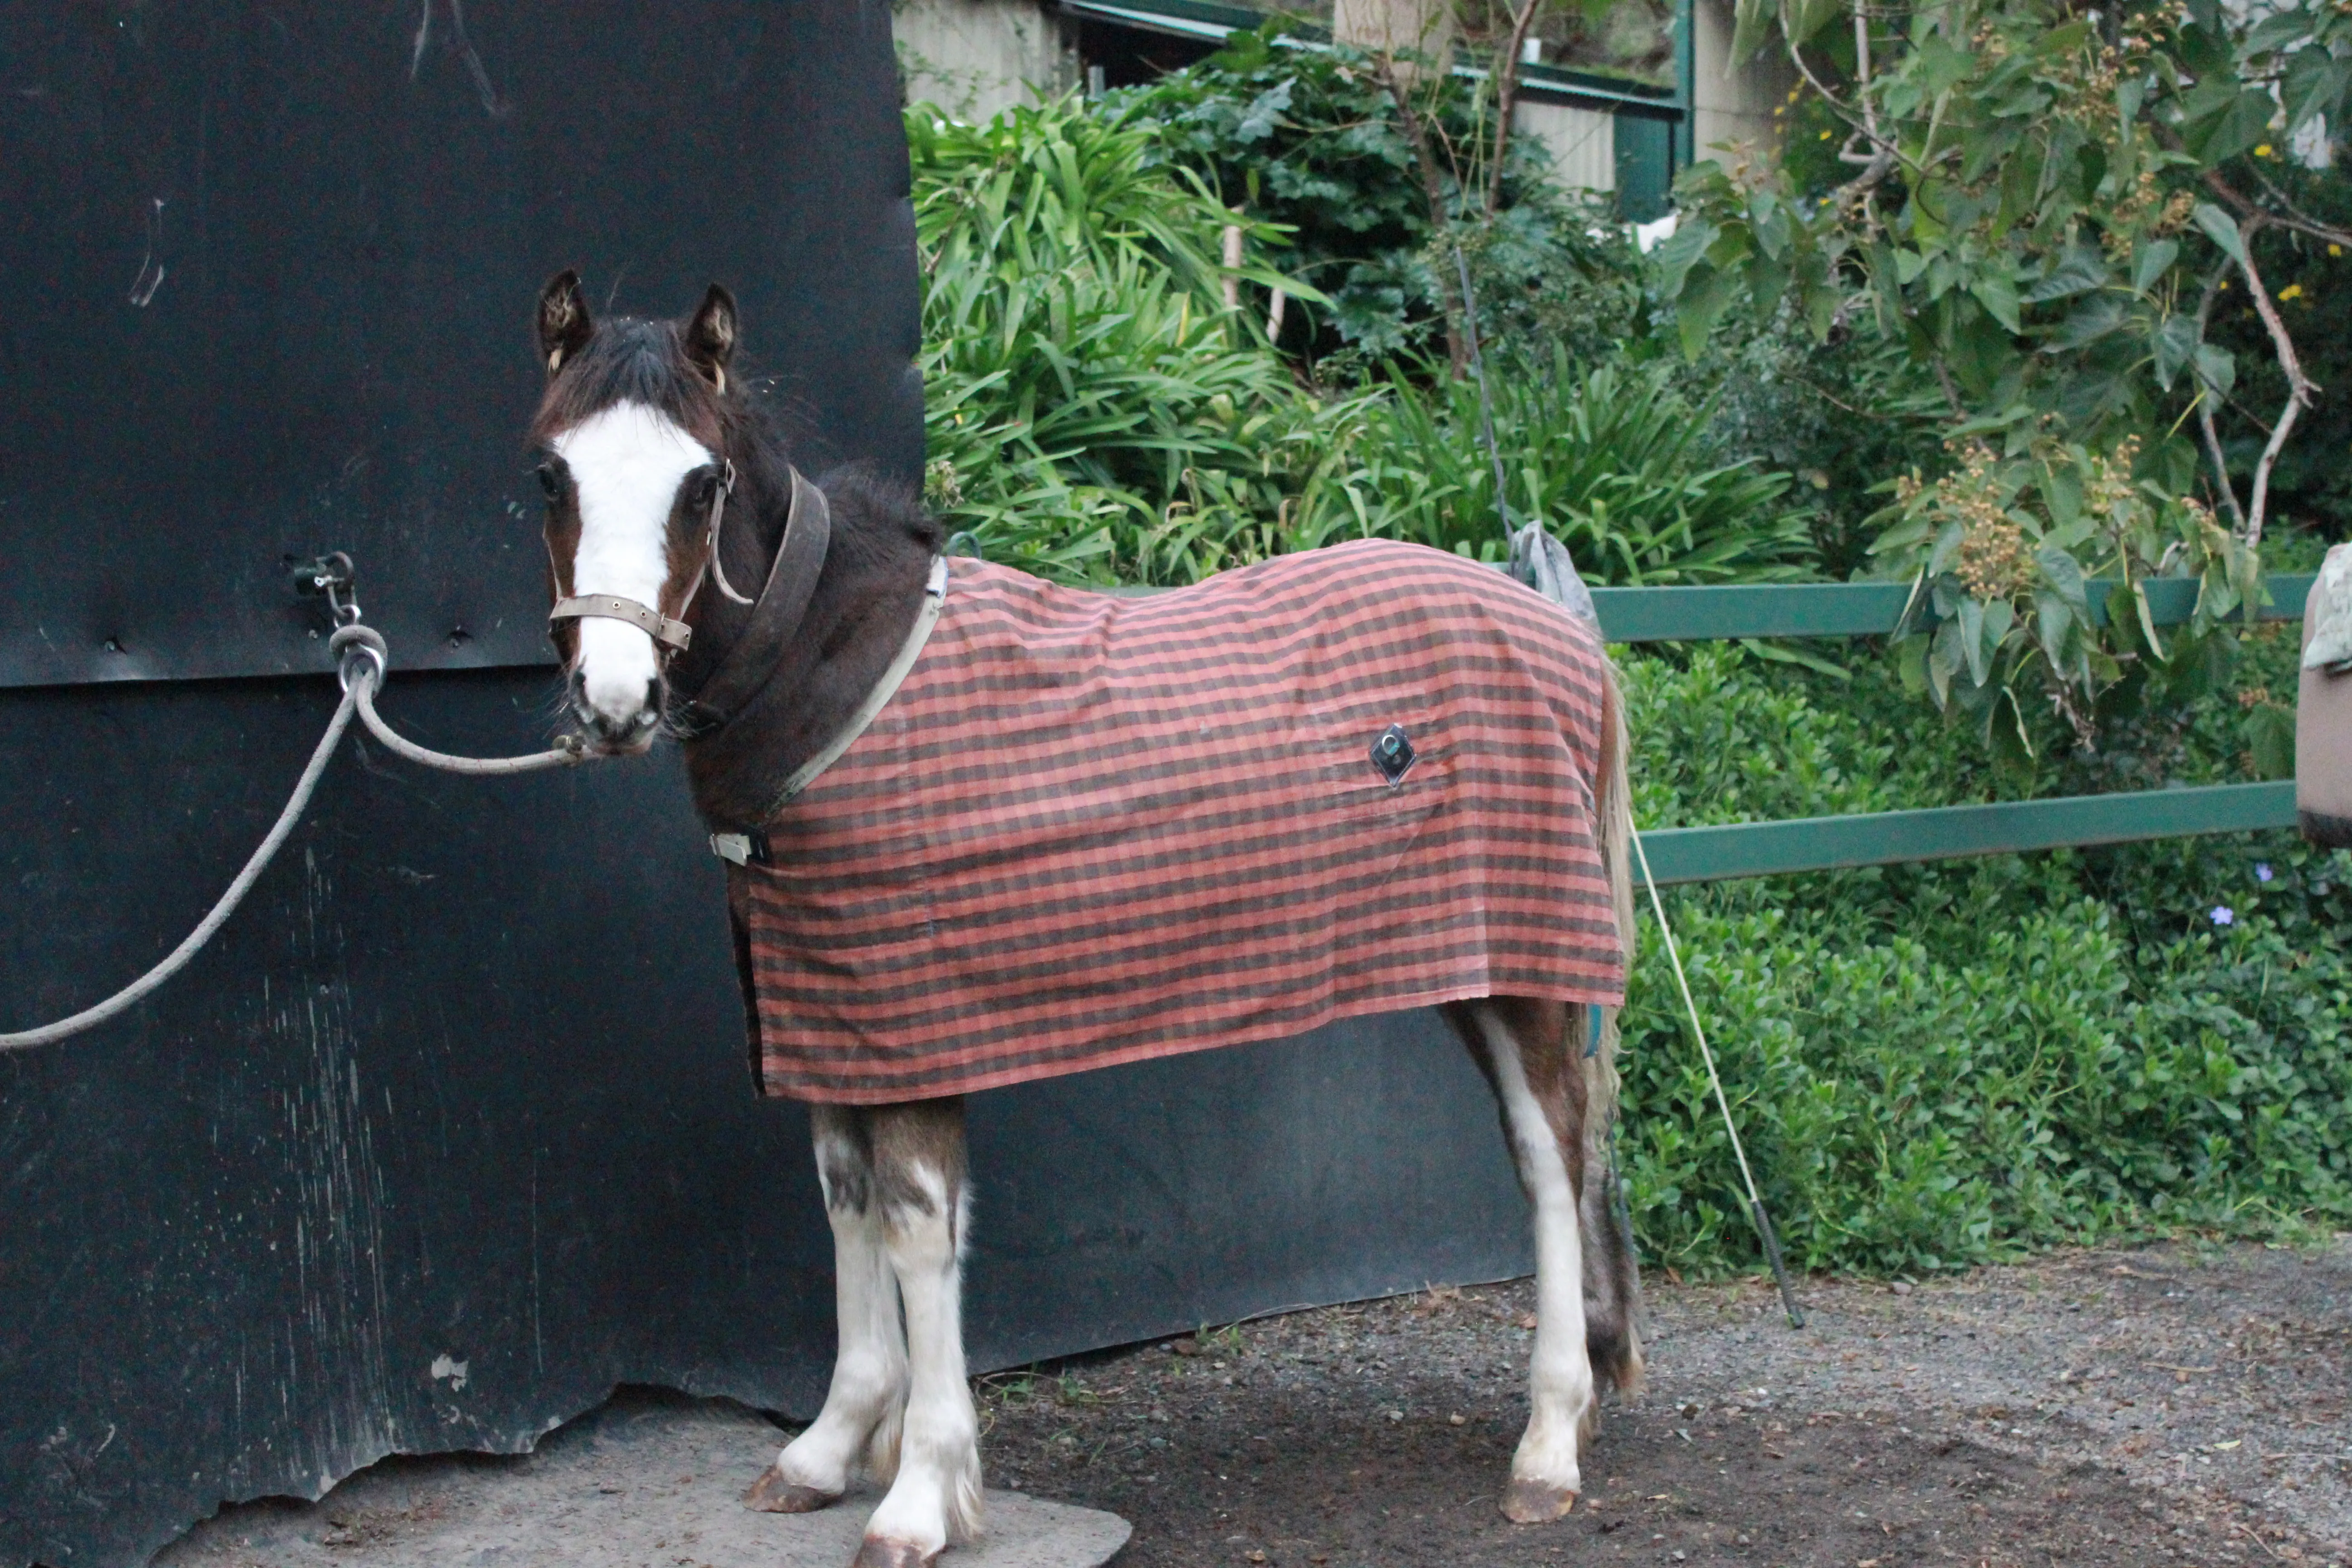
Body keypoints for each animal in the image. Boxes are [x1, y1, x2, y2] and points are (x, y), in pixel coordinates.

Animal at [524, 276, 1646, 1568]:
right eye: (550, 474)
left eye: (701, 482)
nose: (615, 703)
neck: (838, 673)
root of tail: (1556, 628)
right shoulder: (831, 1023)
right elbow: (848, 1206)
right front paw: (828, 1449)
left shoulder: (915, 1030)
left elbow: (919, 1231)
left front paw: (920, 1496)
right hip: (1474, 964)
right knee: (1547, 1151)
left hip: (1523, 970)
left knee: (1551, 1158)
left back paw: (1548, 1446)